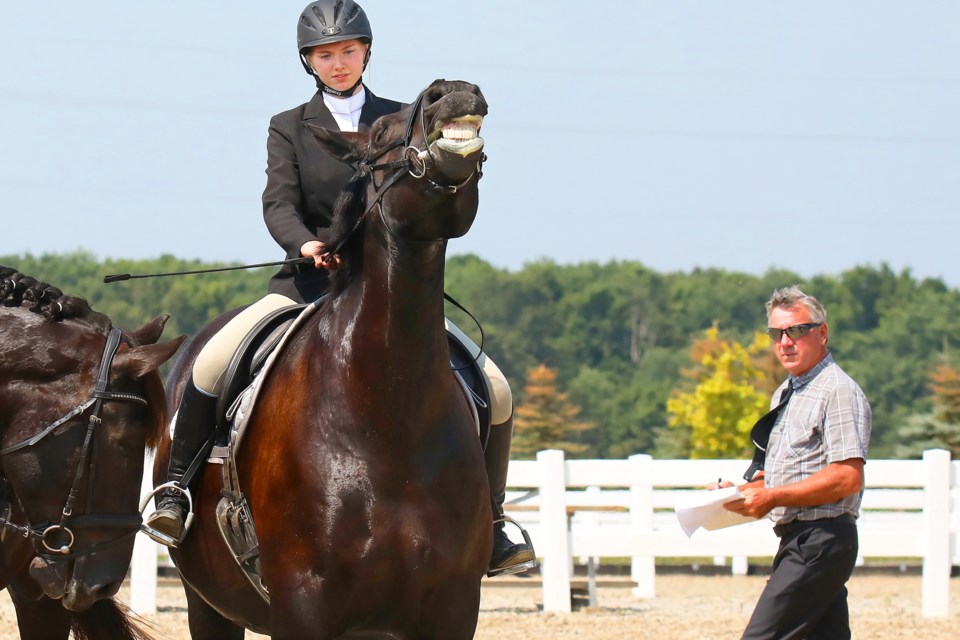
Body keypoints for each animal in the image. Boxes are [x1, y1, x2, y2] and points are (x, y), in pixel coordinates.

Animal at [158, 81, 496, 640]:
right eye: (379, 134)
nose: (452, 92)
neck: (388, 411)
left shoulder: (452, 606)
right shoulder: (304, 604)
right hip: (207, 602)